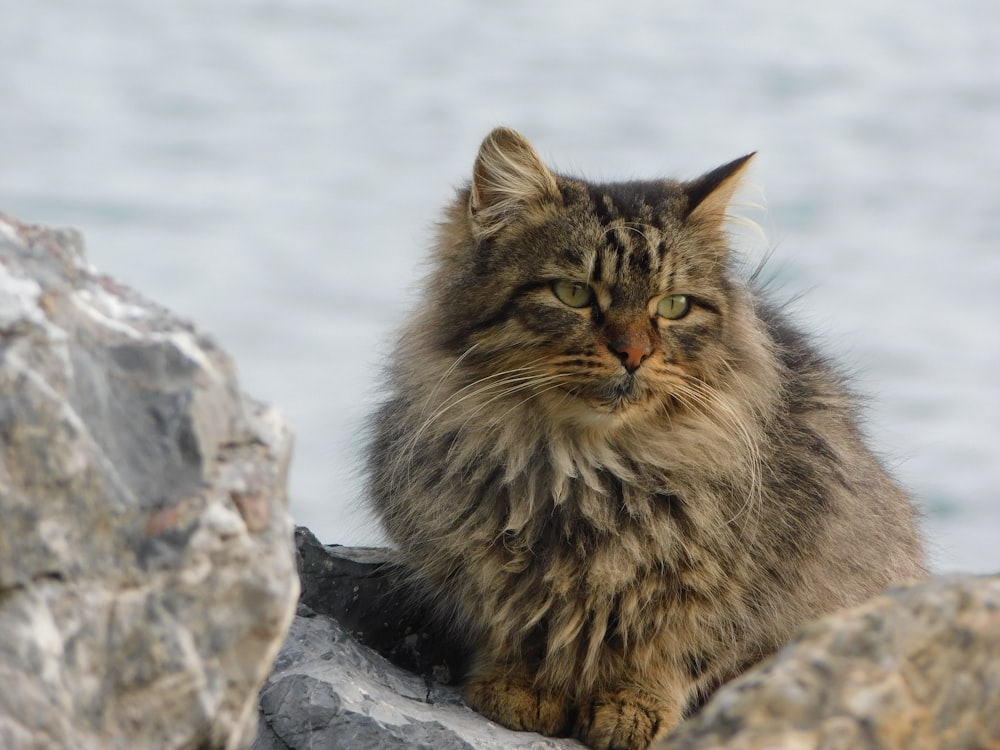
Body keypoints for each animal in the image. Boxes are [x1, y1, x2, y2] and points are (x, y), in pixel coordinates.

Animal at [364, 126, 924, 748]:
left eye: (673, 306)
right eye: (573, 294)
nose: (633, 354)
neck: (583, 466)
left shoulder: (726, 598)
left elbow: (664, 652)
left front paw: (633, 708)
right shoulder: (477, 579)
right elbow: (516, 630)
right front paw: (520, 688)